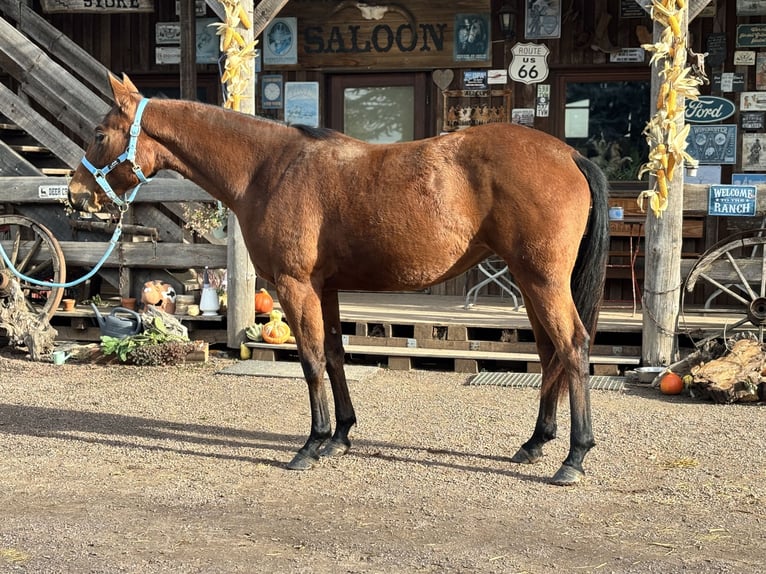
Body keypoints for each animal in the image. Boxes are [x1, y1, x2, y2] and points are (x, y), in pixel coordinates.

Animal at [68, 74, 610, 485]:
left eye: (98, 132)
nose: (75, 193)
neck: (268, 168)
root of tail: (568, 155)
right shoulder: (323, 288)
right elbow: (333, 354)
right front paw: (341, 436)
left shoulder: (294, 285)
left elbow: (309, 360)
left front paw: (312, 443)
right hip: (531, 282)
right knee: (550, 353)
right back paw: (535, 443)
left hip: (542, 280)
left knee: (574, 347)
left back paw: (573, 457)